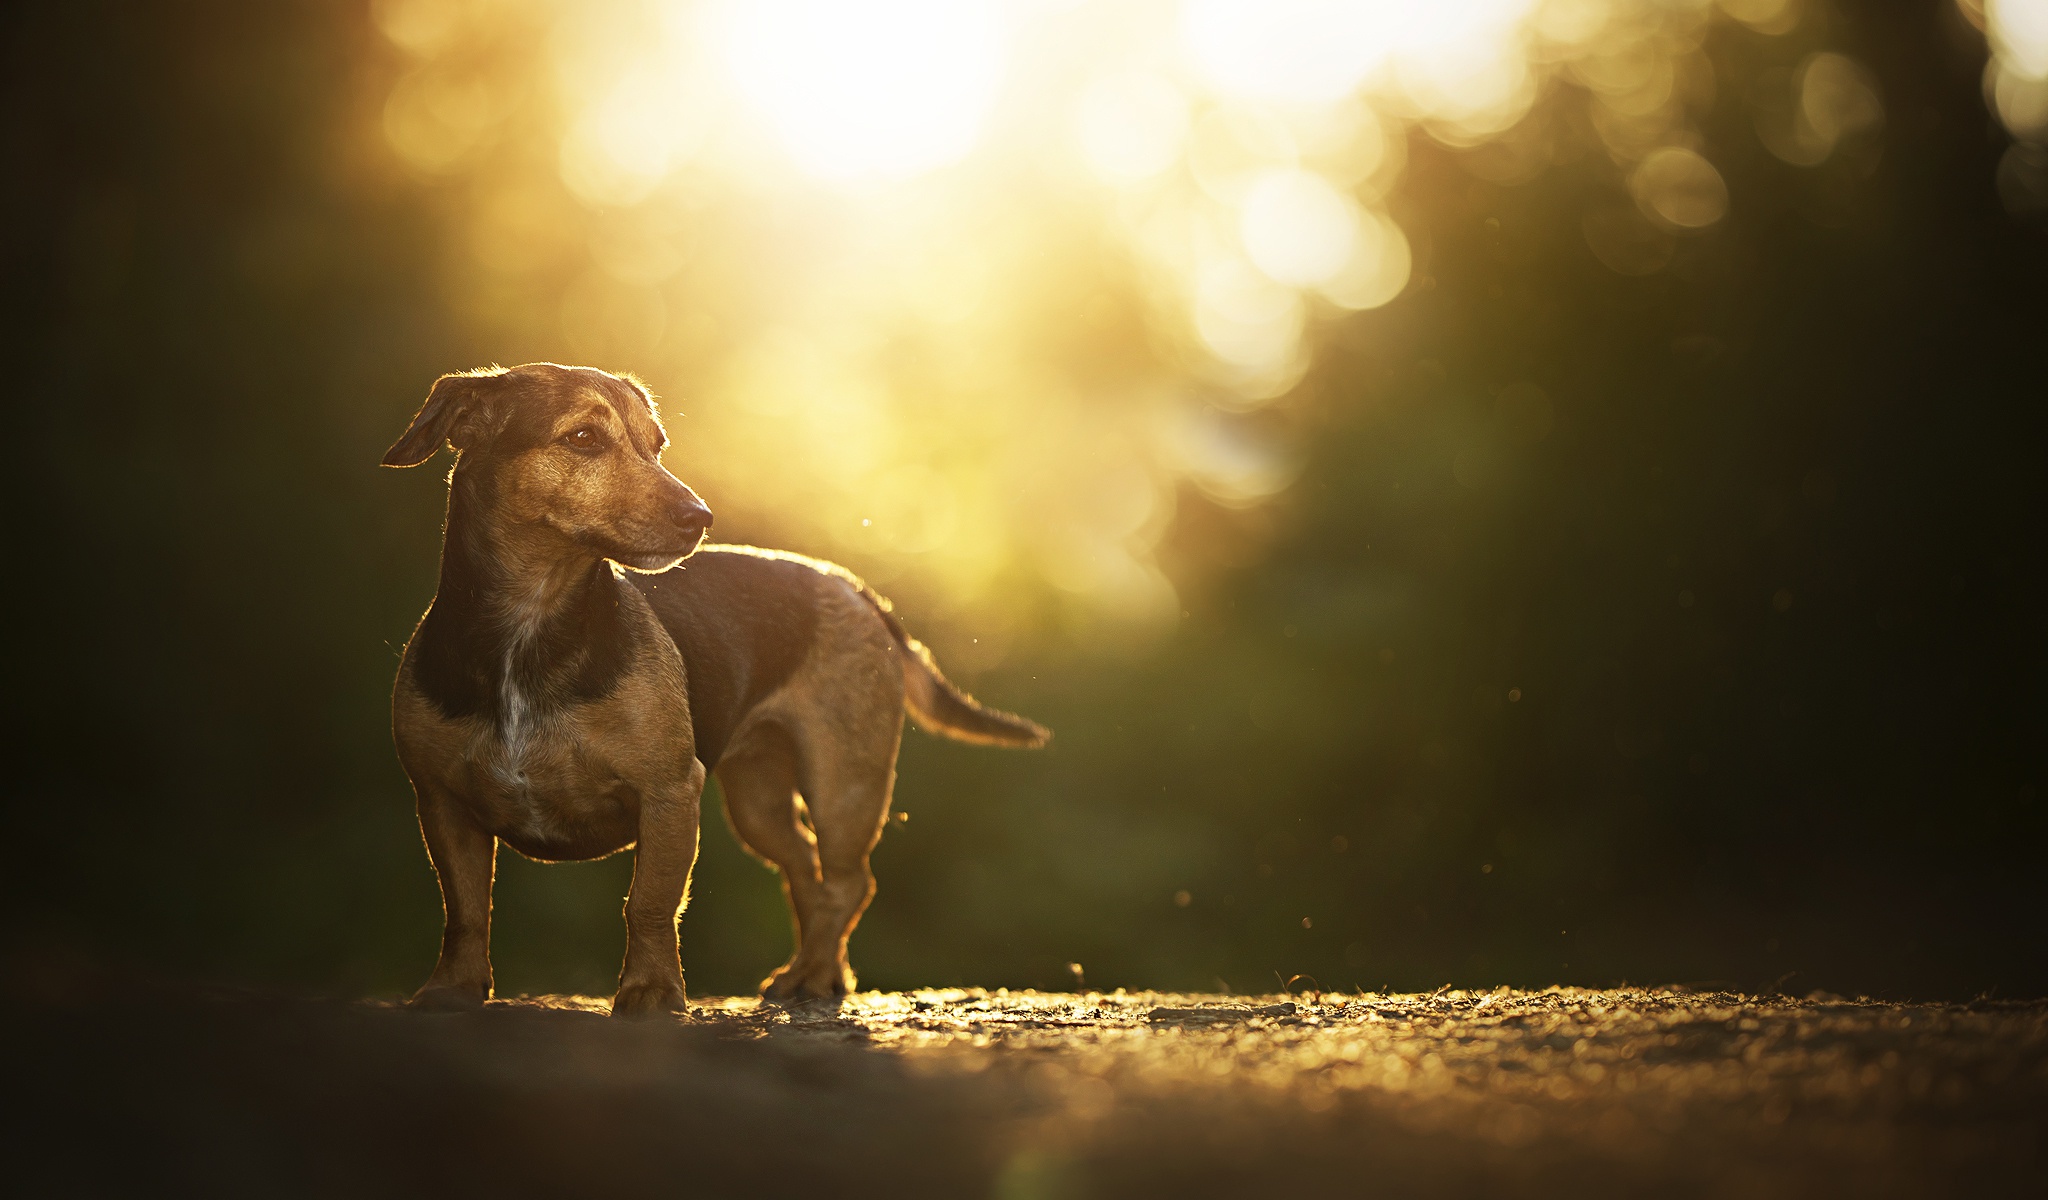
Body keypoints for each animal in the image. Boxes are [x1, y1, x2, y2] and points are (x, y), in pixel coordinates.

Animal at [380, 362, 1056, 1007]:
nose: (699, 518)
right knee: (807, 871)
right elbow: (466, 909)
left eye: (657, 445)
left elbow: (649, 905)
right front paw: (452, 989)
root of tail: (853, 587)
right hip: (758, 799)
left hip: (845, 783)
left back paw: (814, 976)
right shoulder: (441, 803)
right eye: (583, 438)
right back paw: (817, 973)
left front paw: (652, 991)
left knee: (847, 881)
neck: (531, 629)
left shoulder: (669, 793)